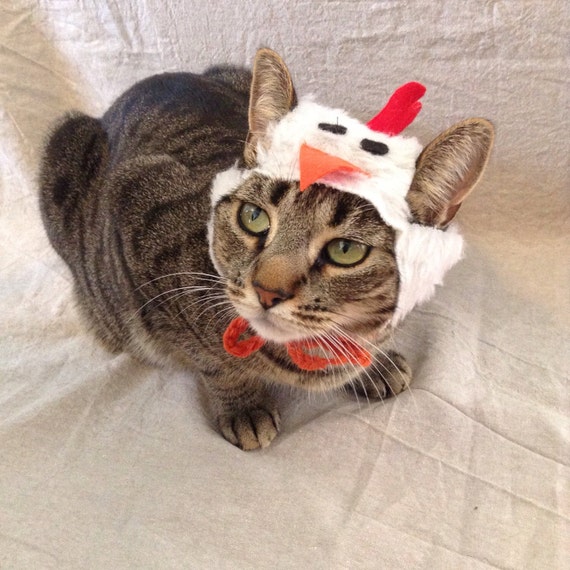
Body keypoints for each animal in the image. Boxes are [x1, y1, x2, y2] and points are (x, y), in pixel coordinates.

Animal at [40, 47, 492, 448]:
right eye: (254, 217)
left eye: (345, 250)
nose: (267, 291)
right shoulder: (138, 212)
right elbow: (212, 361)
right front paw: (243, 405)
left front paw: (372, 366)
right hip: (65, 149)